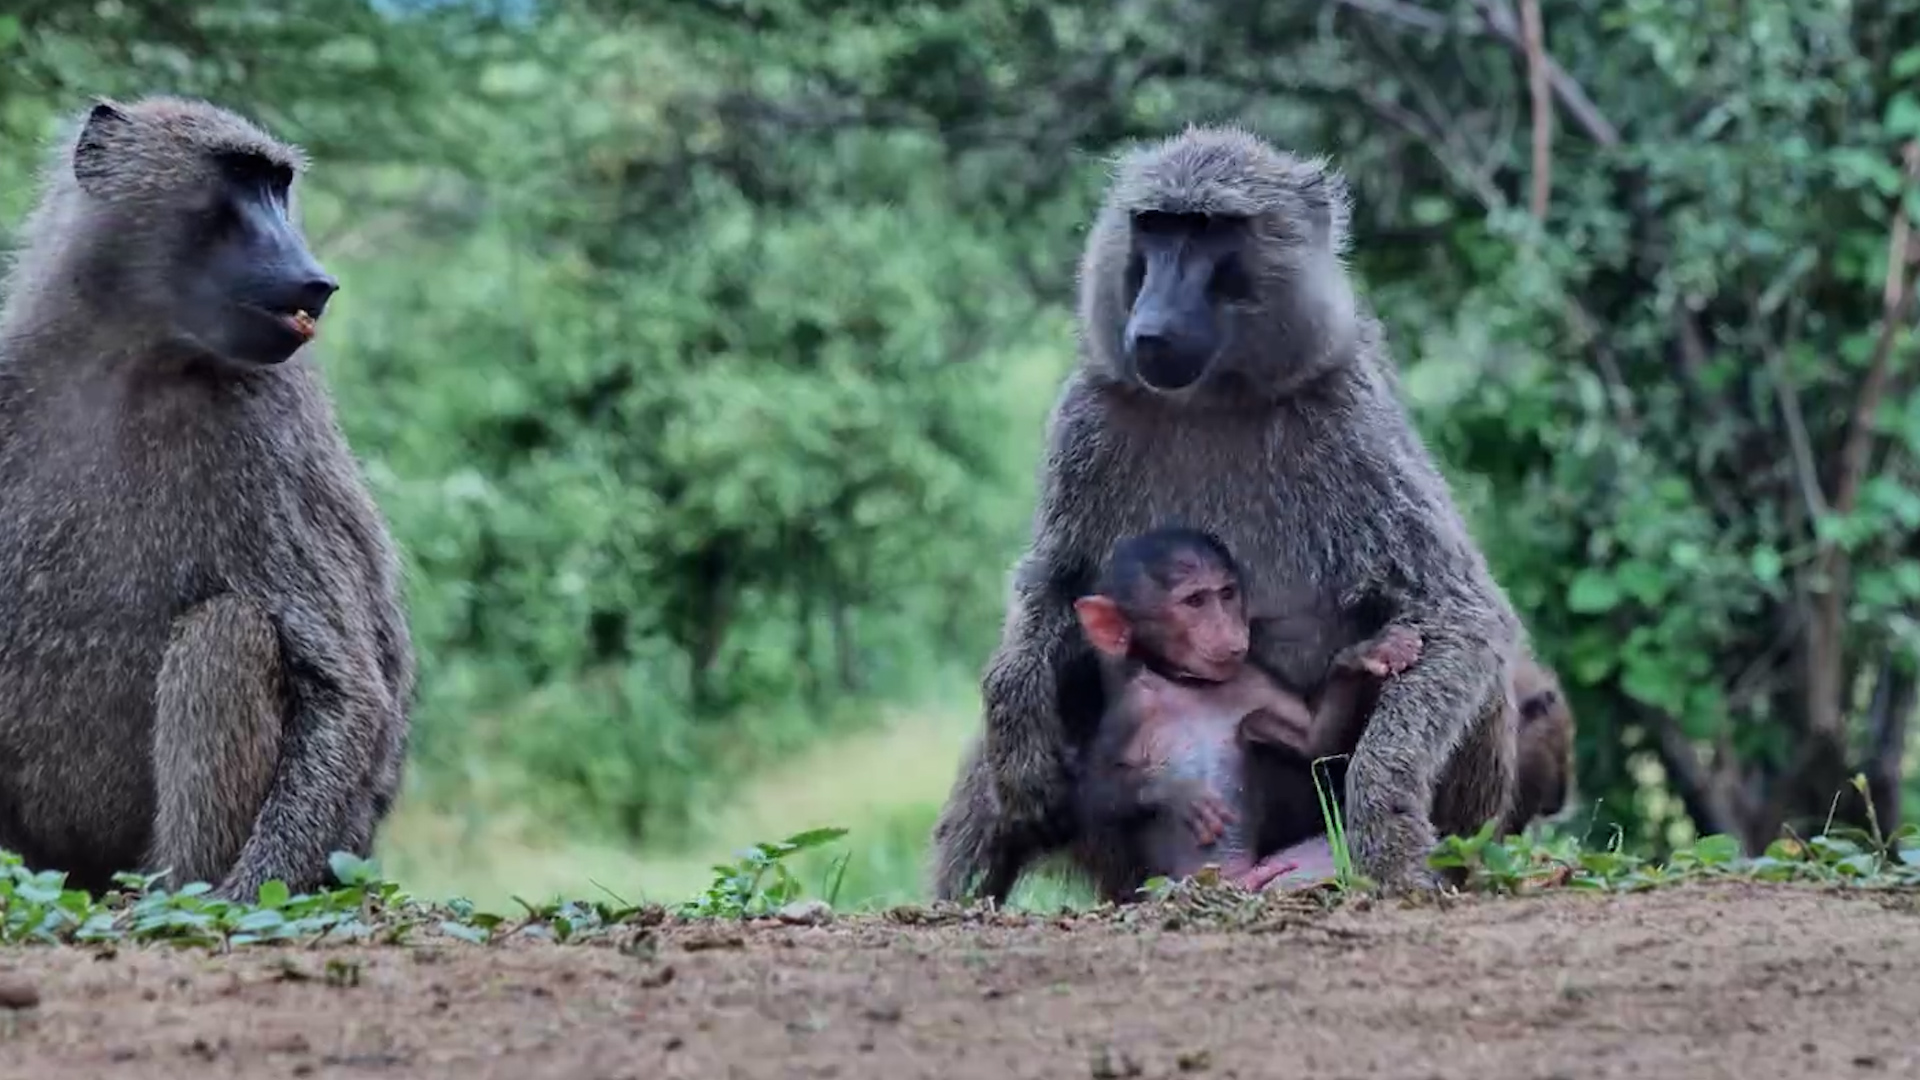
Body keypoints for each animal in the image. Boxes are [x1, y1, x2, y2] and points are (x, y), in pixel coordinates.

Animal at [0, 96, 415, 902]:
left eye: (279, 186)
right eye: (242, 177)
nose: (316, 279)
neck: (131, 356)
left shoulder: (272, 430)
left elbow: (347, 687)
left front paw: (246, 897)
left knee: (228, 631)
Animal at [1067, 527, 1423, 901]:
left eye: (1226, 594)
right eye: (1195, 601)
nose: (1231, 629)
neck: (1188, 685)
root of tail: (1236, 881)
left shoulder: (1252, 682)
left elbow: (1315, 740)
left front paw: (1365, 654)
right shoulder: (1131, 709)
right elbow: (1095, 794)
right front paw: (1179, 791)